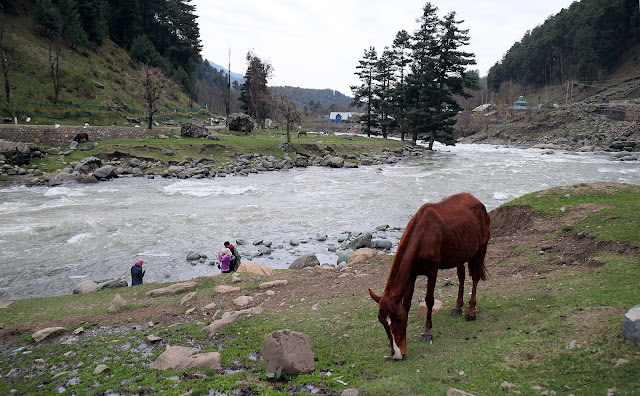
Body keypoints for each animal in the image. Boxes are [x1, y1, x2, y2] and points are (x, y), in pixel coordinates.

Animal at [364, 193, 490, 360]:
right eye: (382, 321)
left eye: (399, 319)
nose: (397, 354)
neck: (422, 237)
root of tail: (477, 201)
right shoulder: (411, 275)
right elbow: (407, 303)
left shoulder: (432, 271)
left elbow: (429, 300)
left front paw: (427, 332)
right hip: (459, 252)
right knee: (461, 276)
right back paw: (458, 307)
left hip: (481, 248)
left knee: (475, 277)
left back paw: (471, 310)